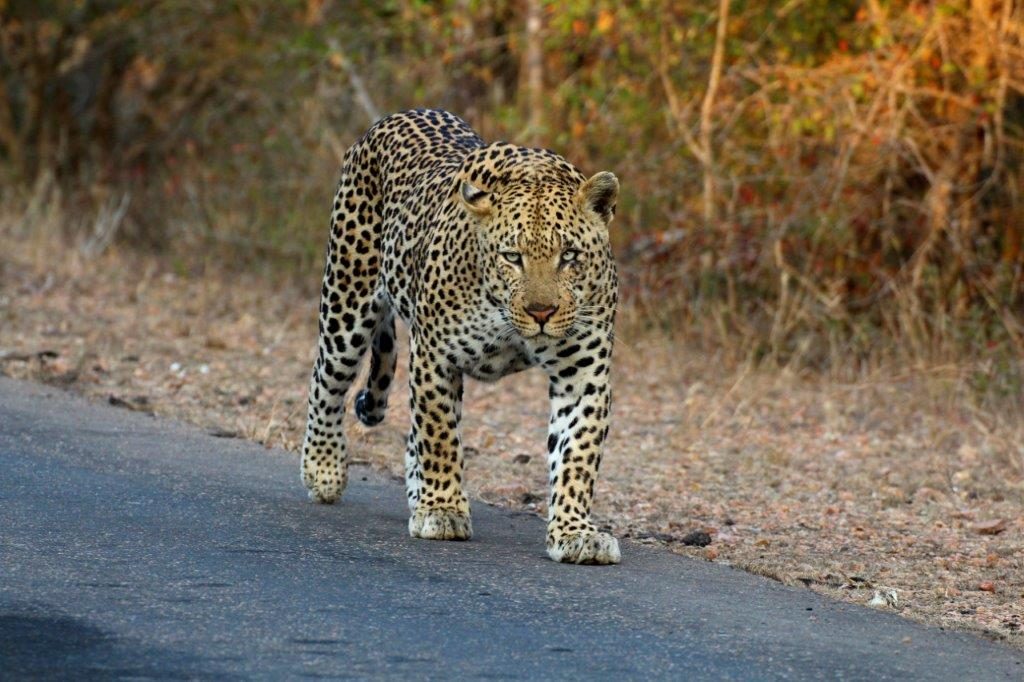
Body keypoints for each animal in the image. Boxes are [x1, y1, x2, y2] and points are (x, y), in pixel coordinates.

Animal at [299, 107, 618, 561]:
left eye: (569, 255)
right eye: (512, 257)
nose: (541, 312)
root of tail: (398, 116)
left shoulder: (583, 375)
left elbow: (577, 453)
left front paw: (575, 532)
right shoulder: (435, 355)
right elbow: (439, 434)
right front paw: (443, 510)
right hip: (347, 300)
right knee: (326, 382)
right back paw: (323, 469)